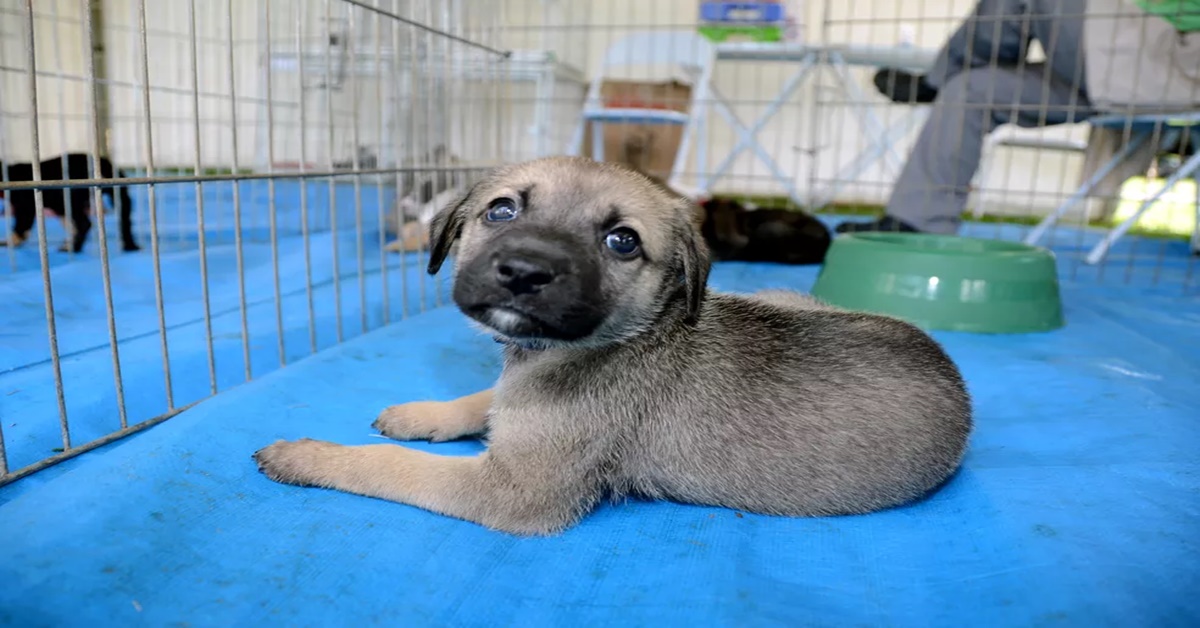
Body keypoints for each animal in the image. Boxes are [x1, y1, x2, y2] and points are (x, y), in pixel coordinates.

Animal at [1, 153, 138, 254]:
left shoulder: (25, 207)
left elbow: (20, 227)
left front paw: (10, 242)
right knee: (125, 220)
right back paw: (130, 246)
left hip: (70, 200)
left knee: (85, 224)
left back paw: (73, 247)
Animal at [255, 156, 974, 535]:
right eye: (501, 210)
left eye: (622, 241)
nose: (524, 272)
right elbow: (484, 399)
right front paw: (422, 414)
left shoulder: (513, 491)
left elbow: (391, 466)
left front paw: (307, 455)